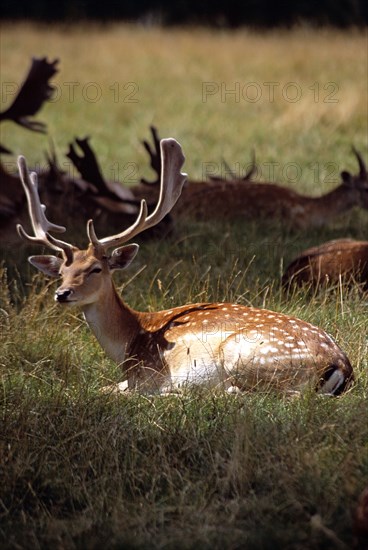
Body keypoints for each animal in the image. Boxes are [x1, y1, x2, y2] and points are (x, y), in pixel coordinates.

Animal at [15, 138, 352, 396]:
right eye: (61, 272)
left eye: (96, 268)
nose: (62, 293)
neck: (129, 342)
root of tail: (341, 364)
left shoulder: (145, 374)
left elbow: (107, 389)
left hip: (246, 356)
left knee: (271, 395)